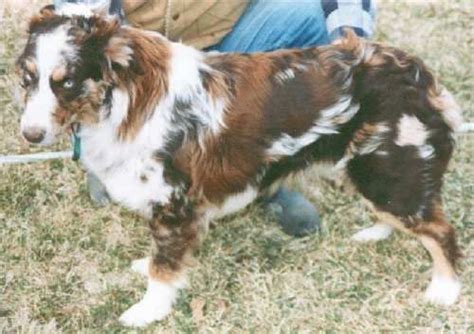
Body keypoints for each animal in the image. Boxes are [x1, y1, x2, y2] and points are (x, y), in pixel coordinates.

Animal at [17, 2, 462, 326]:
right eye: (27, 78)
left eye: (67, 81)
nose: (30, 135)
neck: (123, 97)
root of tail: (417, 72)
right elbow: (161, 257)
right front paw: (147, 268)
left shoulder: (174, 203)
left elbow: (165, 269)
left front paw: (147, 311)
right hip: (370, 170)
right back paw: (375, 233)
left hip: (388, 170)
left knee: (440, 231)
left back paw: (445, 290)